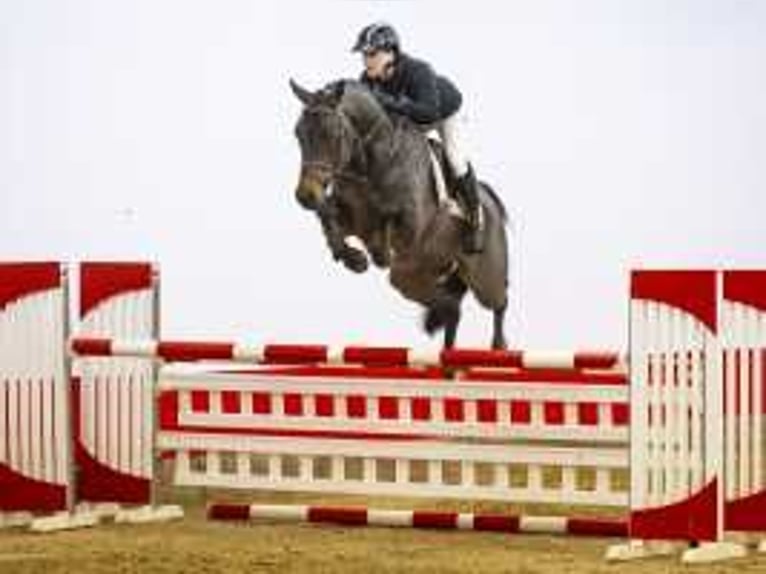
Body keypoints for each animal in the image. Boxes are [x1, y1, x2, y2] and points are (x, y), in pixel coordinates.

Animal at [288, 76, 510, 348]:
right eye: (298, 133)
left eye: (334, 133)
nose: (306, 196)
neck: (368, 163)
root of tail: (492, 204)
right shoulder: (350, 216)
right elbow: (329, 219)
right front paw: (354, 259)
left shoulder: (411, 226)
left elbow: (386, 228)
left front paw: (374, 251)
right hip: (431, 271)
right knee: (449, 306)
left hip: (484, 275)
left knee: (499, 302)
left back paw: (498, 347)